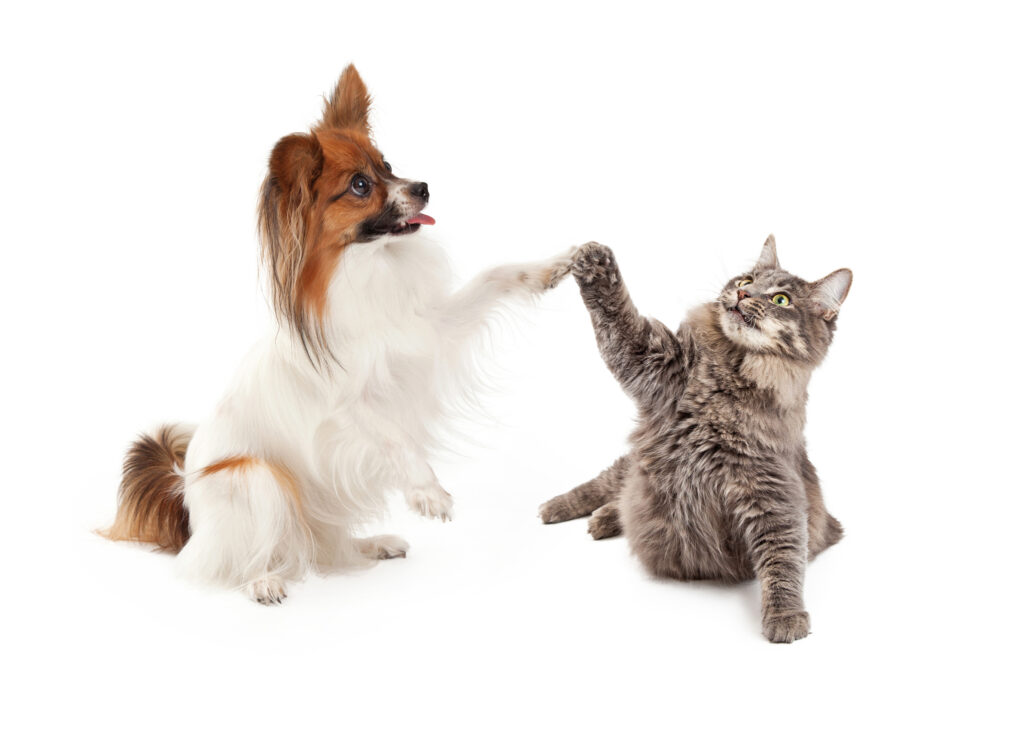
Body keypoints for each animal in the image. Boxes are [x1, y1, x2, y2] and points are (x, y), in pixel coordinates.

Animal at [103, 66, 573, 606]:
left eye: (387, 164)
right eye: (360, 186)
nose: (424, 186)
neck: (370, 267)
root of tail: (184, 495)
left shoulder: (431, 331)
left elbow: (495, 276)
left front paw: (551, 268)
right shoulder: (346, 407)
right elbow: (397, 439)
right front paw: (428, 491)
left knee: (321, 546)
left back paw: (371, 545)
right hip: (256, 478)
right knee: (234, 560)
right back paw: (262, 581)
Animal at [540, 239, 851, 642]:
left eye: (781, 299)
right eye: (746, 280)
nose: (742, 293)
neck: (731, 380)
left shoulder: (772, 493)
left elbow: (783, 561)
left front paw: (786, 615)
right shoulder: (651, 361)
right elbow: (616, 315)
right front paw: (594, 259)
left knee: (621, 501)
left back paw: (606, 518)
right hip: (631, 464)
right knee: (601, 487)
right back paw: (559, 508)